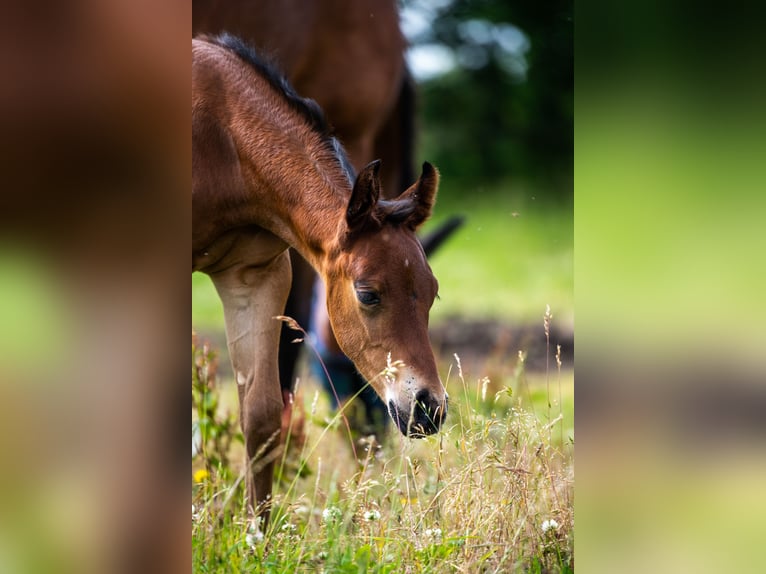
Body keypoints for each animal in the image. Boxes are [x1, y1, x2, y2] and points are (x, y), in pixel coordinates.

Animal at [192, 35, 450, 520]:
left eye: (432, 294)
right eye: (368, 294)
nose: (428, 409)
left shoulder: (254, 275)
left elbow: (262, 417)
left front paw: (257, 533)